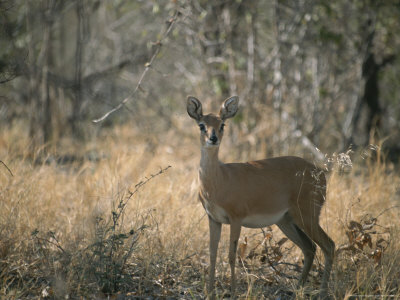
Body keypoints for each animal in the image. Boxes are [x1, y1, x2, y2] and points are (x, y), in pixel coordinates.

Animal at [188, 95, 334, 298]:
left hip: (308, 215)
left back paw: (321, 292)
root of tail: (320, 173)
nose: (213, 138)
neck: (219, 180)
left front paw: (233, 292)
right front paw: (209, 292)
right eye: (201, 125)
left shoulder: (236, 218)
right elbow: (212, 254)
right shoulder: (214, 219)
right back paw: (297, 288)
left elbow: (232, 256)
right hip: (286, 220)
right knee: (310, 248)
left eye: (222, 124)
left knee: (329, 246)